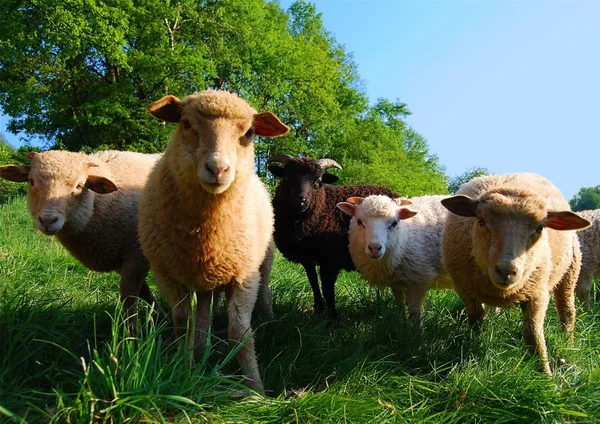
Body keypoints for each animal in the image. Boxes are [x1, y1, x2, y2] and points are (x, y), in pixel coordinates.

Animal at [0, 149, 162, 322]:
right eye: (31, 181)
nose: (48, 220)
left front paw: (131, 329)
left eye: (79, 186)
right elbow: (144, 293)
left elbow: (129, 298)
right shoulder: (122, 259)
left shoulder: (136, 255)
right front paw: (159, 316)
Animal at [141, 89, 290, 394]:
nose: (218, 169)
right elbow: (183, 323)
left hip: (263, 261)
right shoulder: (166, 274)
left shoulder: (244, 275)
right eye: (186, 124)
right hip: (205, 277)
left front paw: (255, 388)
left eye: (249, 133)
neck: (206, 232)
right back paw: (200, 352)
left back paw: (268, 318)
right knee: (204, 312)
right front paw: (184, 371)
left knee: (264, 290)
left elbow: (240, 333)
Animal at [268, 154, 398, 320]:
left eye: (318, 183)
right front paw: (318, 309)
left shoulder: (330, 261)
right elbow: (313, 282)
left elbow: (327, 289)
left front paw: (332, 319)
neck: (323, 208)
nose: (301, 200)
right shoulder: (307, 259)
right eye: (286, 178)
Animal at [336, 194, 452, 326]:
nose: (375, 248)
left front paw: (416, 330)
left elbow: (414, 312)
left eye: (394, 223)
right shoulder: (396, 281)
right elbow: (400, 306)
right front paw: (403, 324)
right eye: (359, 221)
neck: (404, 238)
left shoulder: (419, 279)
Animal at [440, 174, 592, 372]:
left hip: (570, 271)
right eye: (481, 221)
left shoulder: (538, 294)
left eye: (540, 228)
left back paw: (568, 342)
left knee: (567, 312)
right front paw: (475, 344)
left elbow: (533, 335)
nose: (506, 270)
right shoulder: (466, 290)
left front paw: (544, 374)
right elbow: (476, 321)